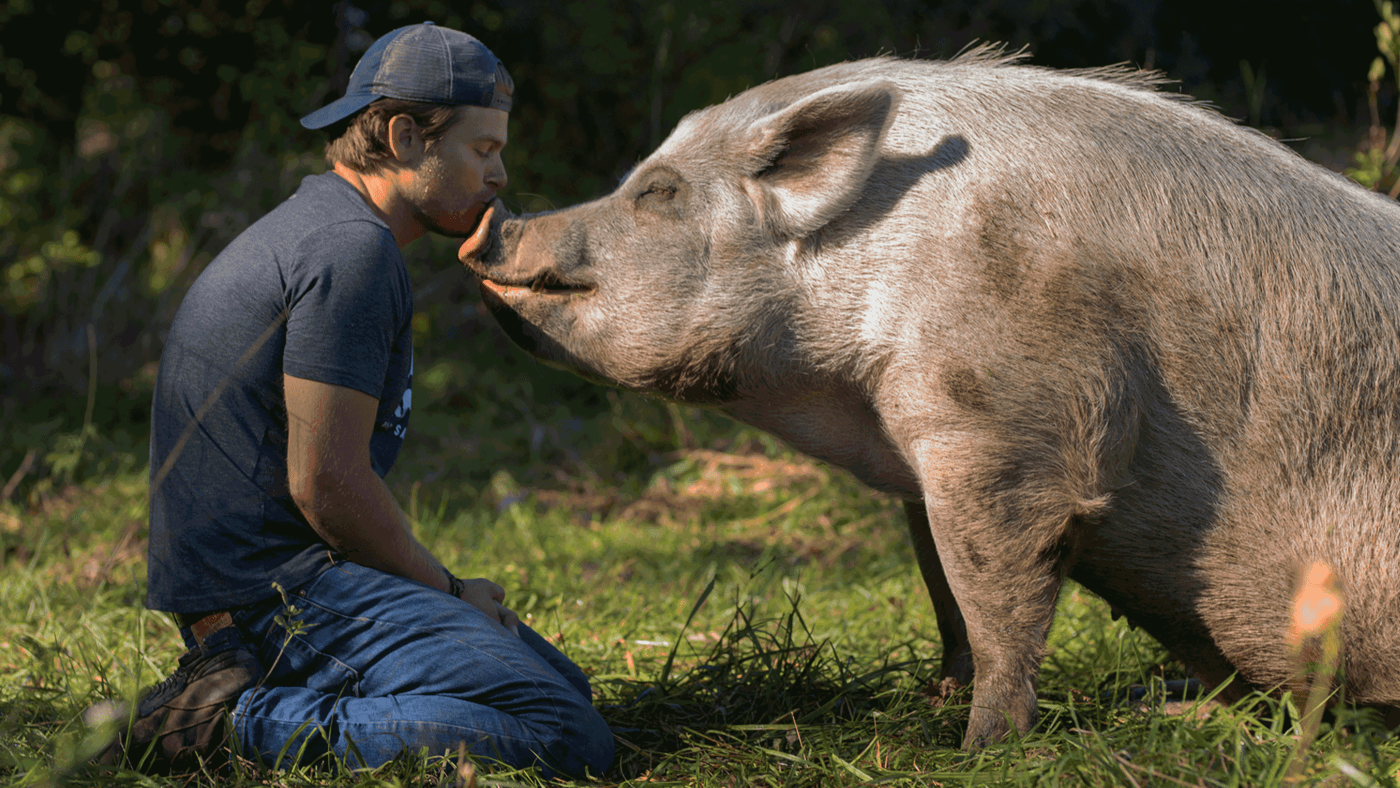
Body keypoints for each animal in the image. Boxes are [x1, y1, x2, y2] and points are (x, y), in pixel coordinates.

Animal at [464, 49, 1400, 744]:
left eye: (657, 192)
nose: (497, 224)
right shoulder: (922, 457)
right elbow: (945, 593)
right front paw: (929, 706)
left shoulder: (1006, 428)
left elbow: (996, 596)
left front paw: (979, 745)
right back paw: (1175, 711)